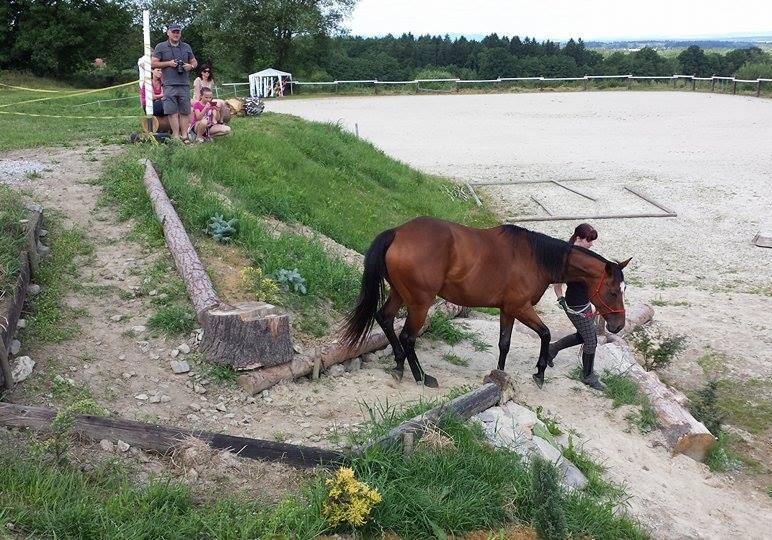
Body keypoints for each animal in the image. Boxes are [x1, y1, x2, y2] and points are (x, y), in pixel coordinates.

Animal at [340, 217, 632, 390]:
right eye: (613, 292)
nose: (618, 325)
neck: (535, 258)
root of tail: (399, 232)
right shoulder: (520, 307)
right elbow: (546, 333)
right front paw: (539, 372)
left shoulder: (507, 310)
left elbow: (505, 343)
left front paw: (499, 375)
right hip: (420, 304)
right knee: (408, 336)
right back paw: (421, 376)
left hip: (401, 294)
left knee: (385, 318)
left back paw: (399, 365)